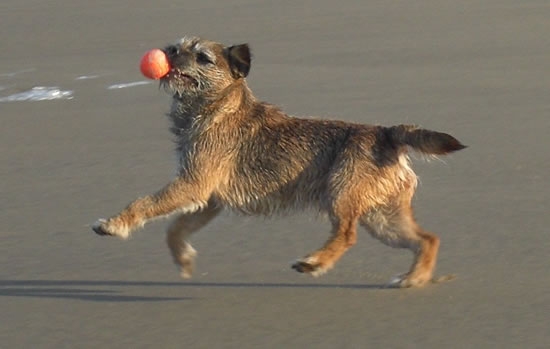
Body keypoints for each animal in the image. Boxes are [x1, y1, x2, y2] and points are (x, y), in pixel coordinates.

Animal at [94, 36, 466, 286]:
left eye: (201, 57)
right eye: (177, 46)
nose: (169, 52)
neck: (217, 106)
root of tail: (386, 134)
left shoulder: (192, 185)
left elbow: (145, 203)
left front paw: (114, 224)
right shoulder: (206, 198)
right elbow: (175, 227)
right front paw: (183, 260)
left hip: (341, 194)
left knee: (347, 234)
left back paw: (315, 262)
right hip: (382, 216)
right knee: (426, 239)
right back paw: (414, 277)